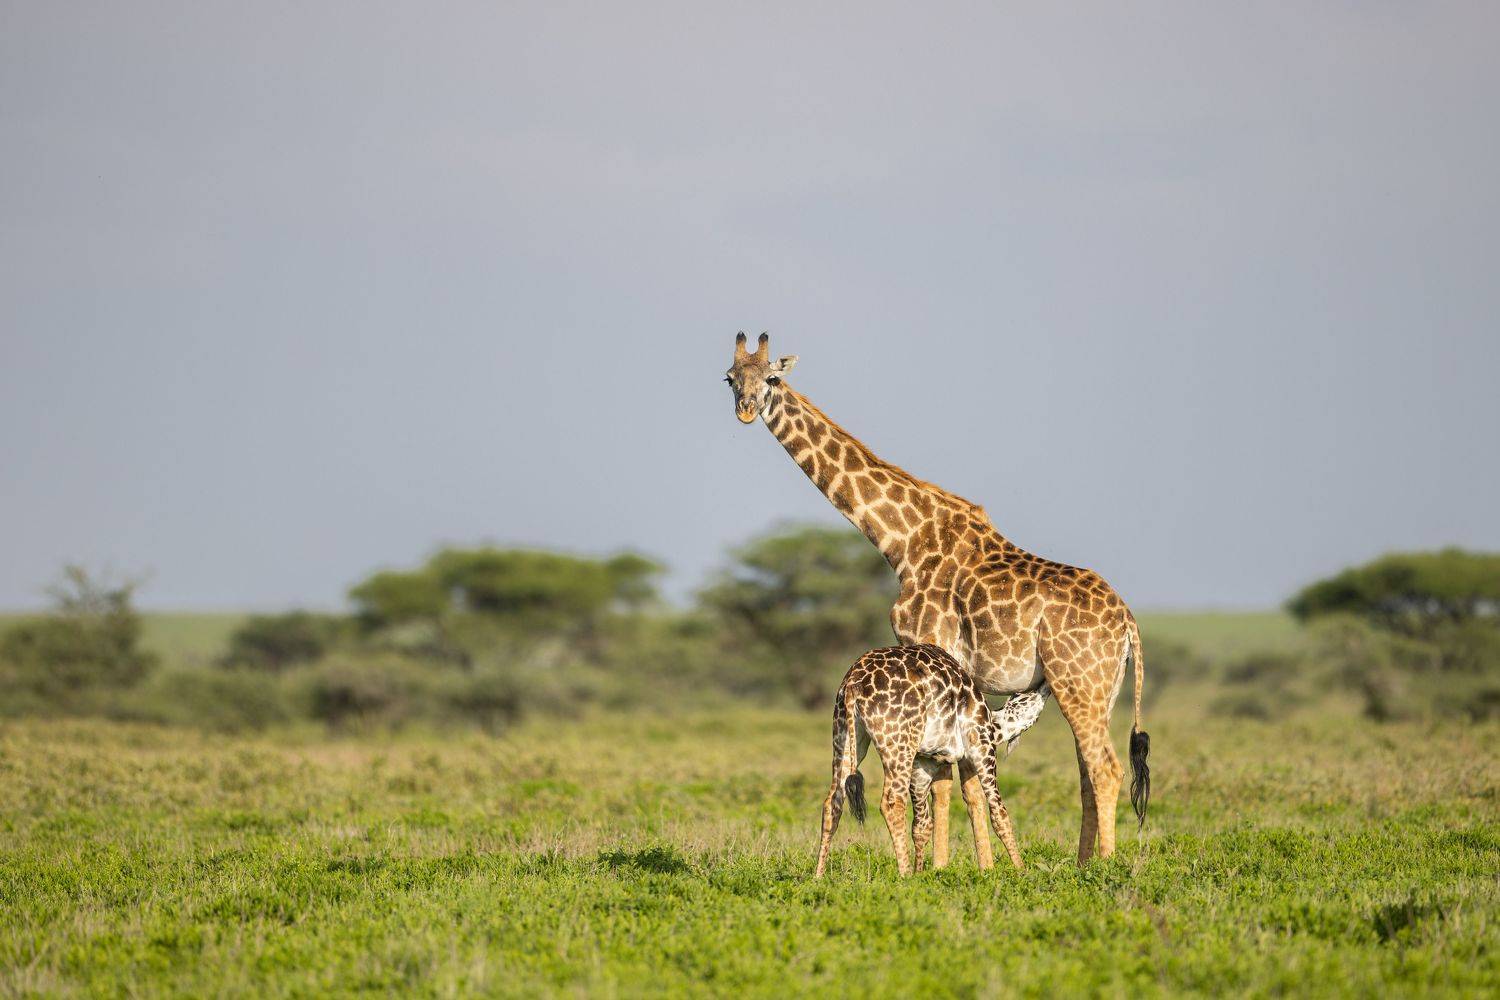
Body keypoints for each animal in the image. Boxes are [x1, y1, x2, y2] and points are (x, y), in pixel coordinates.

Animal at [814, 644, 1042, 878]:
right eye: (1027, 694)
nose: (1042, 684)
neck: (996, 726)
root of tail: (853, 684)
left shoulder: (924, 765)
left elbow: (922, 825)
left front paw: (922, 872)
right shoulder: (981, 745)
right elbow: (999, 812)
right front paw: (1021, 870)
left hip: (845, 736)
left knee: (832, 801)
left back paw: (818, 876)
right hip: (899, 742)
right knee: (892, 801)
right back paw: (905, 876)